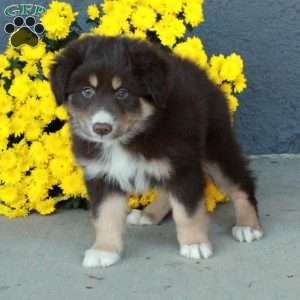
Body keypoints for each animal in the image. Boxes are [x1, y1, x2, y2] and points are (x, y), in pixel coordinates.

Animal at [50, 35, 264, 268]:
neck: (131, 136)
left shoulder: (183, 165)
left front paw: (195, 244)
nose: (101, 128)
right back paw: (149, 215)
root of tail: (200, 72)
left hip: (215, 148)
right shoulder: (101, 175)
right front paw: (104, 250)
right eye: (87, 92)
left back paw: (248, 226)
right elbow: (105, 216)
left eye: (123, 93)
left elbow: (187, 212)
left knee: (241, 183)